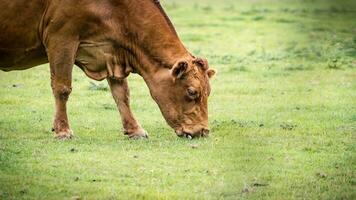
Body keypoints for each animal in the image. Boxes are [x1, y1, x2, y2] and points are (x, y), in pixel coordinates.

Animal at [0, 0, 216, 139]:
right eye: (192, 92)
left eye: (208, 92)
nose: (203, 131)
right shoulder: (61, 38)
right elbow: (62, 88)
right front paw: (62, 130)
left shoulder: (111, 52)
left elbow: (122, 94)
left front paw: (134, 130)